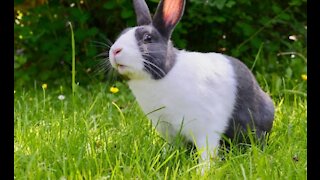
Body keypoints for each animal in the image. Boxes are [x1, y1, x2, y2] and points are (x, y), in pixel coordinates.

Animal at [108, 0, 276, 163]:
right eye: (122, 34)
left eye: (147, 38)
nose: (115, 51)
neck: (165, 74)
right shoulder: (167, 128)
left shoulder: (205, 128)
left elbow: (207, 153)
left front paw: (203, 170)